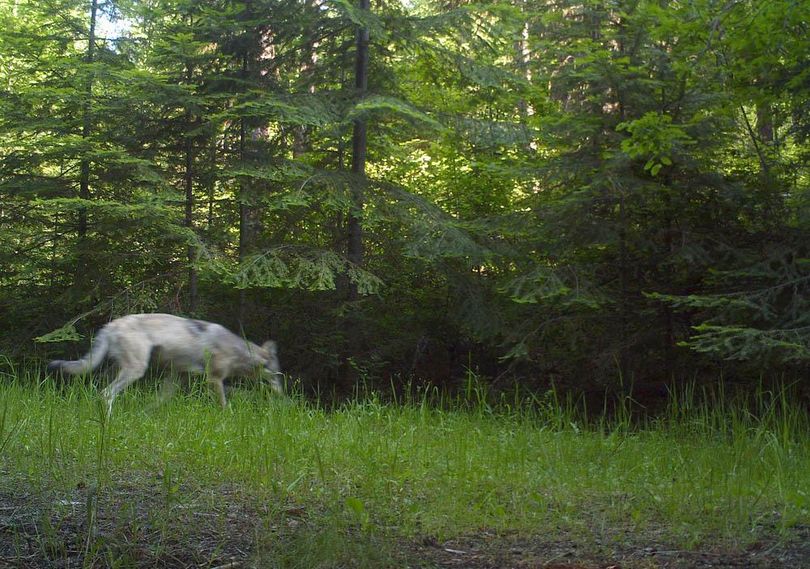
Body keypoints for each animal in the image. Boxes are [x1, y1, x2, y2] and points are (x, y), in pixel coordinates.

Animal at [47, 312, 282, 414]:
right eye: (278, 375)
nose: (283, 391)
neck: (238, 351)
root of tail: (110, 325)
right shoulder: (214, 379)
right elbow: (224, 404)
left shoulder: (176, 378)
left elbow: (158, 401)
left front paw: (144, 415)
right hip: (134, 371)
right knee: (106, 394)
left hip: (116, 369)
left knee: (99, 391)